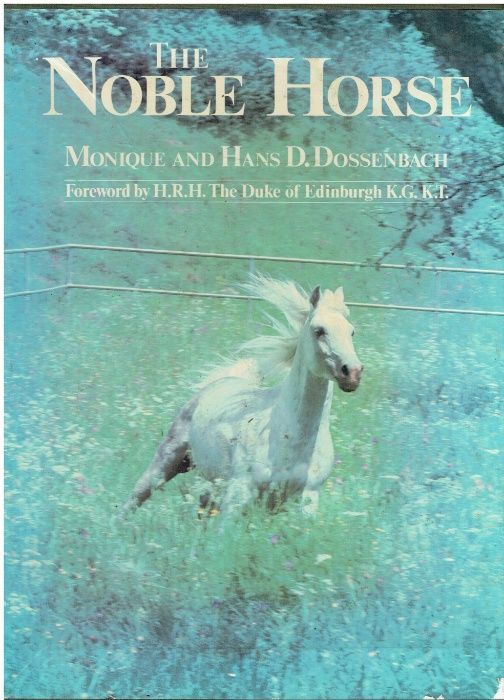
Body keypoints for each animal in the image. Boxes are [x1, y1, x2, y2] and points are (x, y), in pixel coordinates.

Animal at [123, 275, 364, 519]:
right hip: (166, 462)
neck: (289, 437)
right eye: (319, 330)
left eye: (351, 331)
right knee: (135, 498)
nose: (352, 372)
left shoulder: (307, 499)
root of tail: (220, 383)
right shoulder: (238, 494)